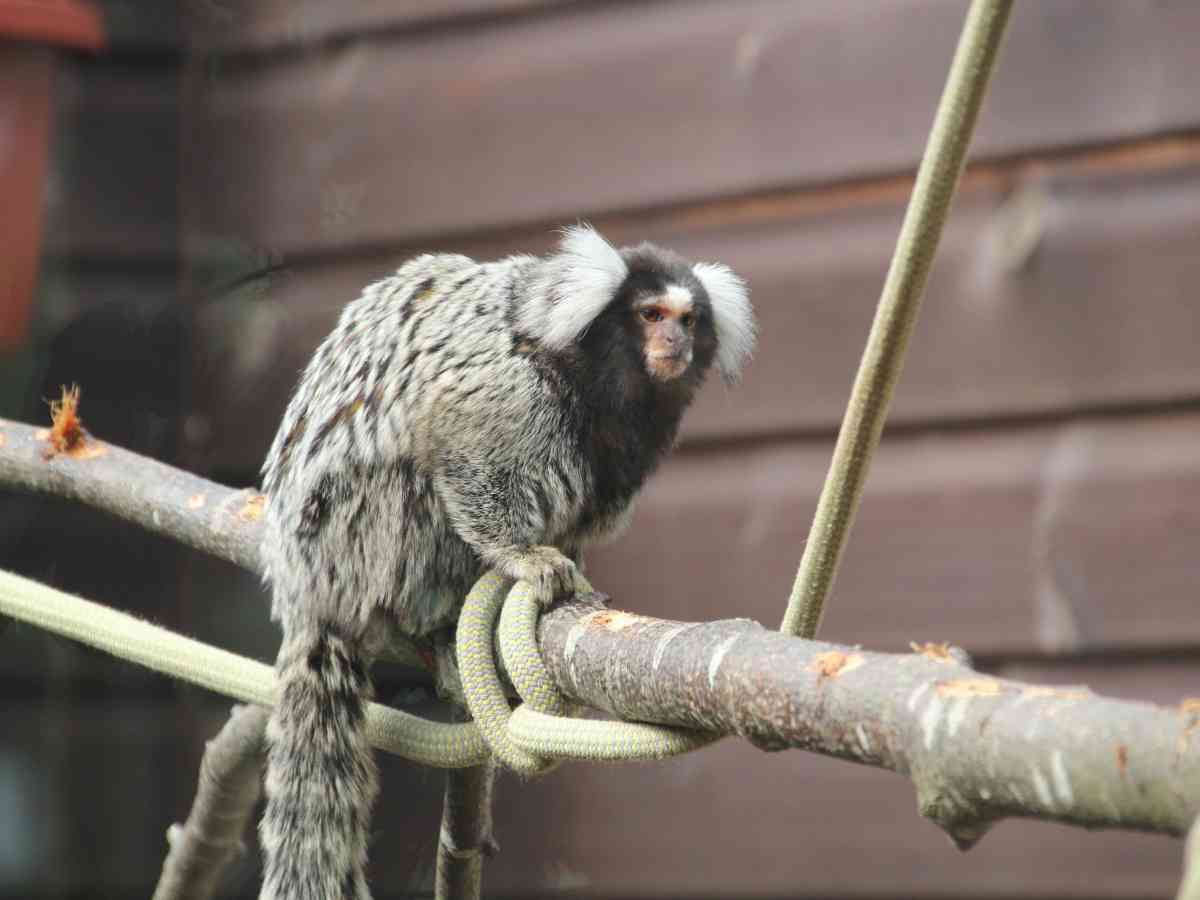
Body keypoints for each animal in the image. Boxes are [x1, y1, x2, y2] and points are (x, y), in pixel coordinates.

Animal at [257, 225, 755, 900]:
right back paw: (433, 623)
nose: (674, 341)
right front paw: (524, 559)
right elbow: (458, 445)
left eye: (690, 318)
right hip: (361, 533)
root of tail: (308, 592)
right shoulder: (511, 386)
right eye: (650, 314)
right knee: (414, 484)